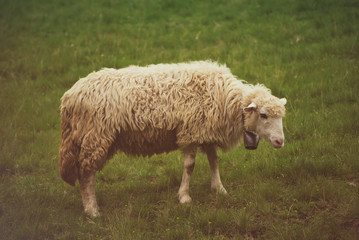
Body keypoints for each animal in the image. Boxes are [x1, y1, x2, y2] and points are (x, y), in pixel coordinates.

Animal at [60, 59, 288, 216]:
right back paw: (92, 210)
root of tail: (70, 96)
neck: (224, 99)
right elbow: (189, 166)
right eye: (263, 115)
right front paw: (184, 197)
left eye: (281, 116)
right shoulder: (190, 132)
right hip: (95, 136)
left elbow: (214, 161)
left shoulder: (206, 132)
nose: (280, 142)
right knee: (86, 172)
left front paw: (219, 189)